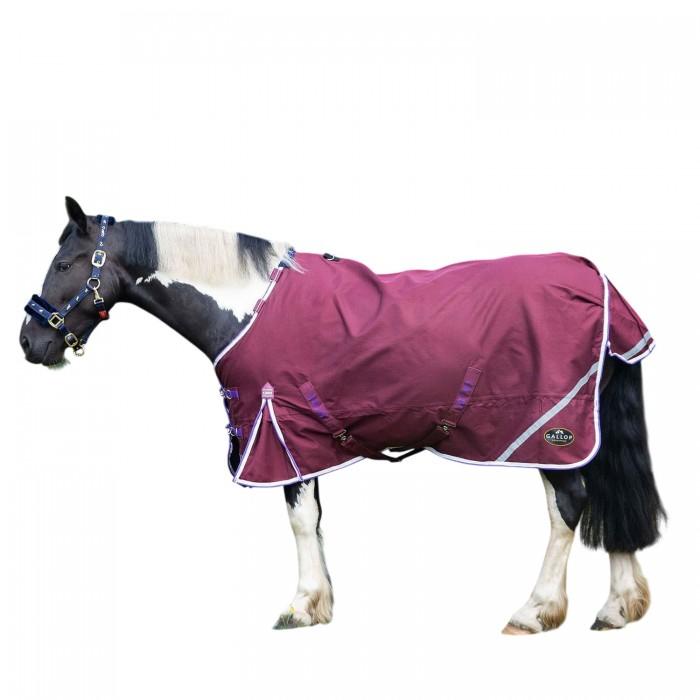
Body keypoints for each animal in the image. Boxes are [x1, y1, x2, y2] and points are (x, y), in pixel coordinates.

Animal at [19, 196, 666, 633]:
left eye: (65, 264)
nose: (30, 342)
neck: (245, 307)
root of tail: (595, 278)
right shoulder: (297, 437)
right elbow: (315, 519)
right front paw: (320, 601)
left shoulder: (278, 430)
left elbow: (300, 520)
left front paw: (301, 605)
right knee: (612, 499)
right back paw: (617, 607)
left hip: (551, 433)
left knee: (569, 507)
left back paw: (535, 611)